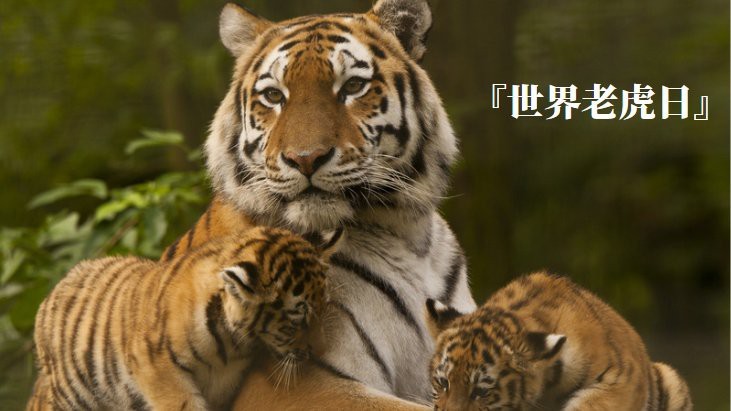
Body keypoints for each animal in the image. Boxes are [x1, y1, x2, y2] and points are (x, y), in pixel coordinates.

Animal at [27, 226, 341, 411]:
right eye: (296, 320)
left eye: (324, 306)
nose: (321, 350)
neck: (230, 344)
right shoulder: (158, 369)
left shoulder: (224, 382)